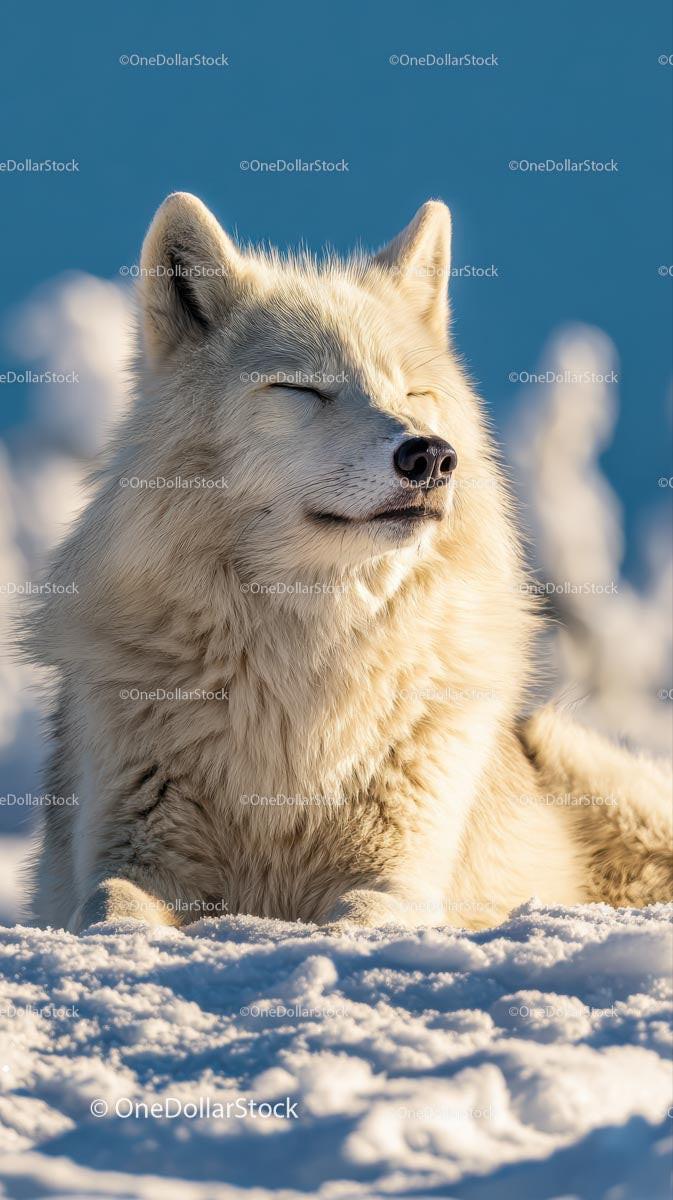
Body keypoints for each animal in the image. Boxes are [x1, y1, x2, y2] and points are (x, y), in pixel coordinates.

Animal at [25, 192, 672, 932]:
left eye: (413, 393)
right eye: (302, 390)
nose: (430, 455)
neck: (308, 655)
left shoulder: (397, 870)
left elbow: (360, 916)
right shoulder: (133, 845)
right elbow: (108, 903)